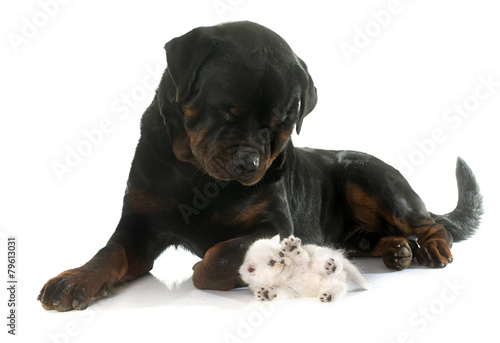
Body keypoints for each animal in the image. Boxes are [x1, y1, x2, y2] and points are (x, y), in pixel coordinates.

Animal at [238, 235, 372, 302]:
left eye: (281, 254)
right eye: (271, 263)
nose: (282, 260)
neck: (288, 276)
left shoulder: (304, 262)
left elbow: (299, 256)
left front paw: (291, 247)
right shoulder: (289, 291)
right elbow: (278, 292)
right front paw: (266, 293)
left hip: (323, 256)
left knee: (338, 264)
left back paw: (331, 266)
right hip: (331, 283)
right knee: (341, 287)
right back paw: (328, 295)